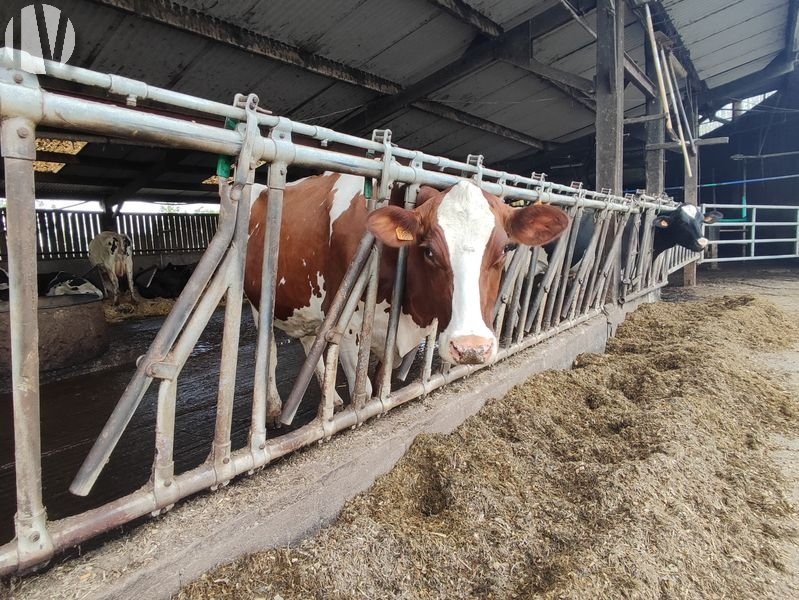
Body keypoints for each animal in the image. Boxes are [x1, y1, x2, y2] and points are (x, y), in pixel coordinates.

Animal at [244, 171, 568, 424]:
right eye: (429, 251)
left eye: (505, 249)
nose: (471, 348)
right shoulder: (345, 328)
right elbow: (365, 393)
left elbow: (381, 381)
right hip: (260, 303)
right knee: (269, 351)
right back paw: (274, 408)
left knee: (309, 338)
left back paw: (331, 397)